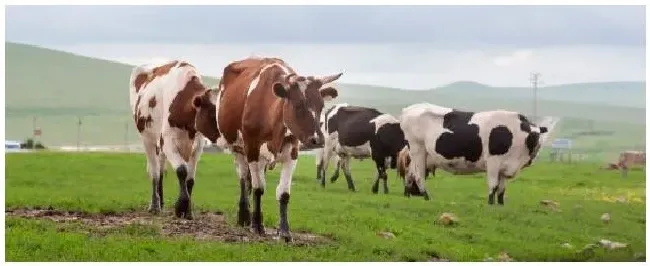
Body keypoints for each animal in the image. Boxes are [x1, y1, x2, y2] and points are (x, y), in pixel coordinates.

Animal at [129, 60, 220, 220]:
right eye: (210, 112)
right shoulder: (167, 142)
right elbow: (182, 171)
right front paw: (180, 206)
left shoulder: (197, 146)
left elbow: (190, 179)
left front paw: (188, 211)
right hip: (147, 139)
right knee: (154, 172)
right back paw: (155, 205)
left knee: (160, 170)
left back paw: (161, 202)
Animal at [216, 57, 342, 242]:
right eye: (298, 106)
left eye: (321, 107)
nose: (317, 140)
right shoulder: (252, 149)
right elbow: (258, 188)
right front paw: (257, 226)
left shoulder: (292, 153)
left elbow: (283, 193)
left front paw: (284, 231)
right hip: (237, 149)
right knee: (243, 179)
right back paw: (245, 216)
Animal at [400, 103, 548, 205]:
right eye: (534, 137)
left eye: (540, 137)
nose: (535, 151)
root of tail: (410, 109)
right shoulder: (493, 162)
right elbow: (493, 186)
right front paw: (490, 203)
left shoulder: (505, 167)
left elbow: (501, 189)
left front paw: (500, 204)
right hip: (417, 150)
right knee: (418, 175)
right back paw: (426, 197)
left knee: (410, 173)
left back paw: (408, 194)